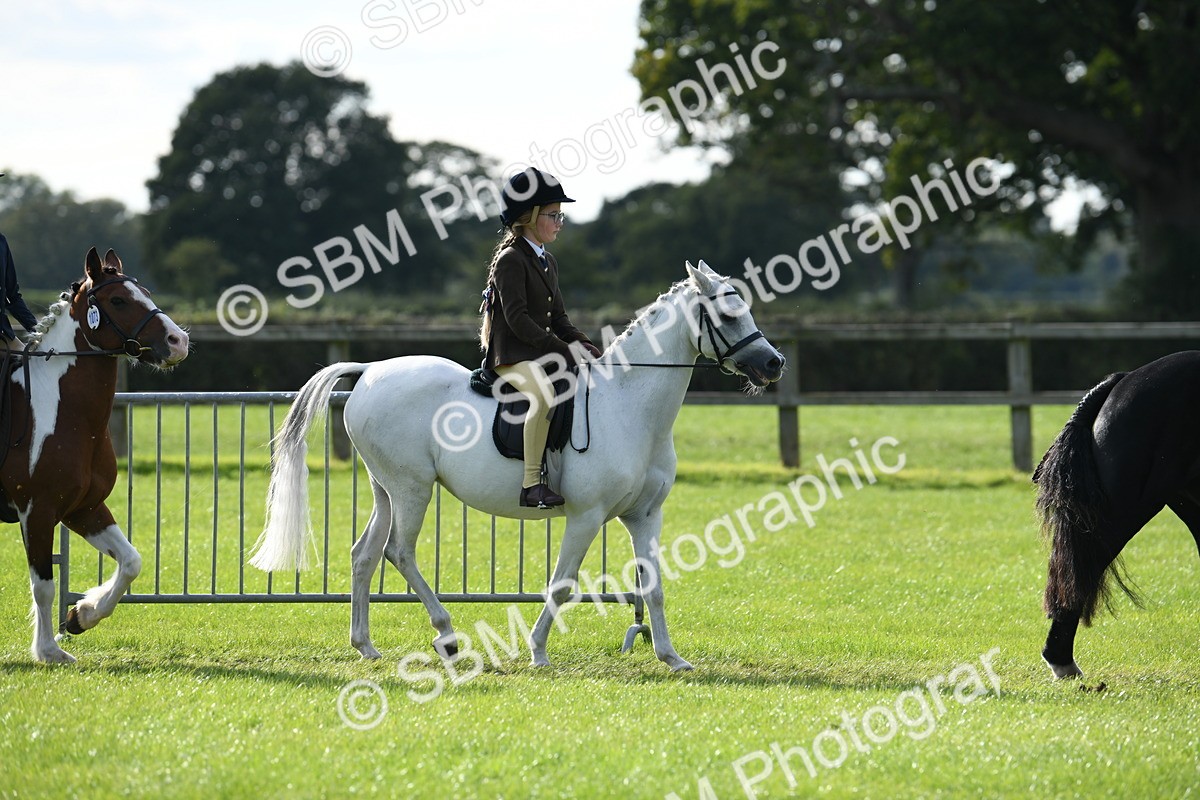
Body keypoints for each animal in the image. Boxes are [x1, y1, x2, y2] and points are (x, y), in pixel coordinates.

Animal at [6, 247, 189, 663]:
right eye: (118, 300)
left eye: (146, 292)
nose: (178, 341)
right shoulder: (37, 512)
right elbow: (43, 586)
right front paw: (49, 651)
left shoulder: (84, 509)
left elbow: (131, 561)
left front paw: (82, 615)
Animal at [250, 261, 784, 670]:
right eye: (728, 314)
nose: (774, 364)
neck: (630, 407)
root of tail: (368, 372)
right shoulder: (586, 516)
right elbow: (562, 584)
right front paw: (538, 652)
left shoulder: (645, 516)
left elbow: (652, 587)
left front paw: (671, 657)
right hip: (412, 488)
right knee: (399, 552)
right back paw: (446, 637)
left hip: (386, 489)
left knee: (364, 555)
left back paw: (366, 646)